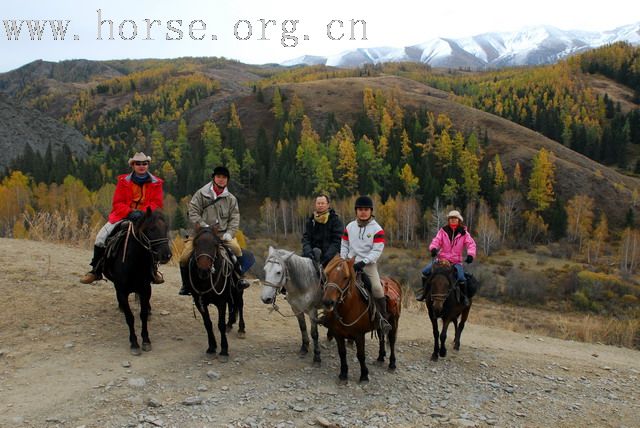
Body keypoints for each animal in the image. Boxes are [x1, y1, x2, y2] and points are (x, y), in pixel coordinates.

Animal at [101, 208, 170, 354]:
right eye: (151, 229)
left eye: (166, 227)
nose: (167, 255)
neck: (134, 262)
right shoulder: (122, 291)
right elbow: (130, 317)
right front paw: (134, 343)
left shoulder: (145, 289)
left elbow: (142, 314)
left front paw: (146, 340)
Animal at [186, 226, 246, 360]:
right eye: (196, 244)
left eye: (214, 244)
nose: (203, 270)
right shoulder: (200, 302)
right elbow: (208, 324)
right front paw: (212, 347)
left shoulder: (221, 301)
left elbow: (220, 324)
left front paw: (224, 350)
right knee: (233, 305)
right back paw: (230, 324)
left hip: (238, 291)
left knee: (239, 305)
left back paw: (241, 330)